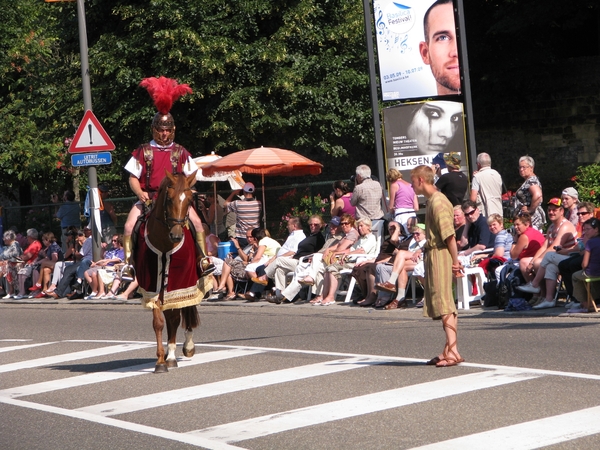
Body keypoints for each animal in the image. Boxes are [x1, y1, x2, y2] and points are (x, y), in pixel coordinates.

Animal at [132, 171, 210, 374]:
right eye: (169, 199)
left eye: (189, 200)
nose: (176, 235)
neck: (165, 243)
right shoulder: (152, 287)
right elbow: (159, 321)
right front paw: (161, 361)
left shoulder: (181, 282)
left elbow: (175, 318)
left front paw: (172, 356)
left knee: (187, 309)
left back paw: (187, 347)